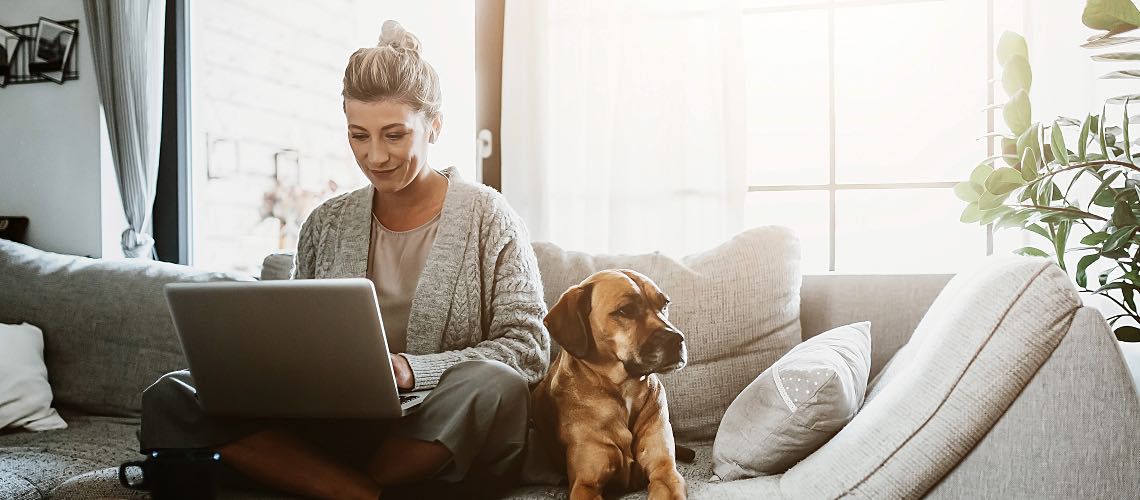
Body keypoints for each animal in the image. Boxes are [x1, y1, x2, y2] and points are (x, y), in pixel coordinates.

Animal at [531, 272, 684, 498]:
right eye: (626, 310)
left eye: (664, 304)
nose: (678, 339)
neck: (625, 390)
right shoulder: (585, 484)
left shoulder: (664, 471)